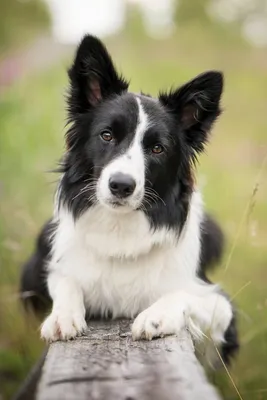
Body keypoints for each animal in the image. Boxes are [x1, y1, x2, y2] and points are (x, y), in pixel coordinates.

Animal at [20, 35, 239, 366]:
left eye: (158, 149)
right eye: (107, 135)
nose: (121, 185)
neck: (120, 228)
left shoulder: (222, 307)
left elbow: (184, 295)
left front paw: (156, 316)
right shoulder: (49, 271)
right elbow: (65, 279)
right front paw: (63, 316)